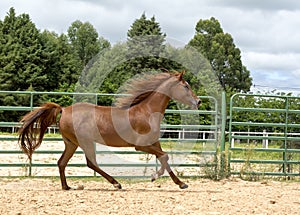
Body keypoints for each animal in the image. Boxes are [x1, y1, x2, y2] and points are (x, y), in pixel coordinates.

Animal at [18, 72, 202, 190]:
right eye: (186, 86)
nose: (199, 101)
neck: (147, 111)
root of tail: (63, 109)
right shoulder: (140, 146)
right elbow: (165, 156)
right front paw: (154, 177)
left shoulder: (154, 142)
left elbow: (165, 159)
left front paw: (181, 183)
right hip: (84, 142)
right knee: (91, 163)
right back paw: (116, 183)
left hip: (71, 143)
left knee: (62, 162)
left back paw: (66, 187)